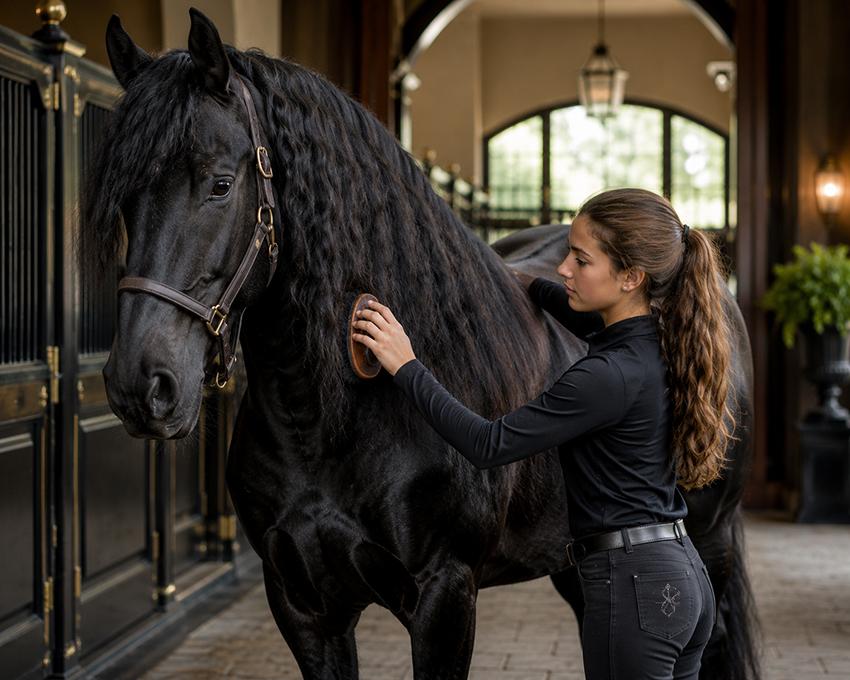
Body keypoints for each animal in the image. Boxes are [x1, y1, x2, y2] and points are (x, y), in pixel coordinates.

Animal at [84, 9, 759, 679]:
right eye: (124, 197)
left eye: (221, 185)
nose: (140, 384)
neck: (333, 416)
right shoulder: (303, 607)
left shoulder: (444, 597)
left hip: (708, 544)